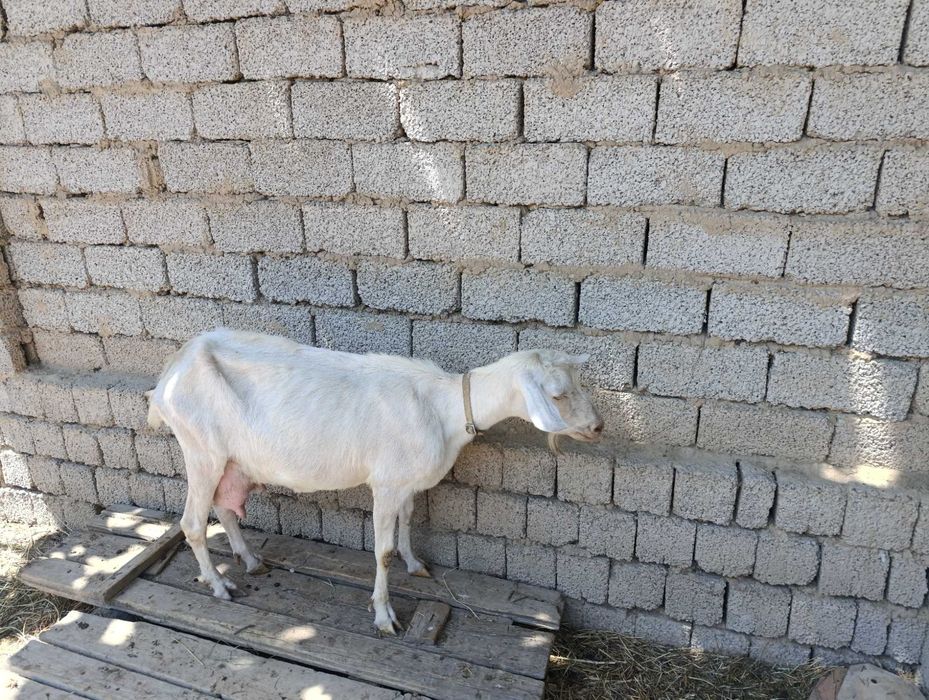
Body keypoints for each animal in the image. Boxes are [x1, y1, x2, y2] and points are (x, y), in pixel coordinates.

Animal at [147, 328, 603, 634]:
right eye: (557, 394)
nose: (598, 427)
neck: (443, 408)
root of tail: (169, 373)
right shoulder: (384, 483)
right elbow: (381, 552)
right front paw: (384, 615)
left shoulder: (405, 482)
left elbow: (408, 520)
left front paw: (415, 564)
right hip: (201, 451)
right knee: (192, 522)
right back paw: (220, 585)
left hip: (230, 459)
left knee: (223, 508)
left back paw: (250, 560)